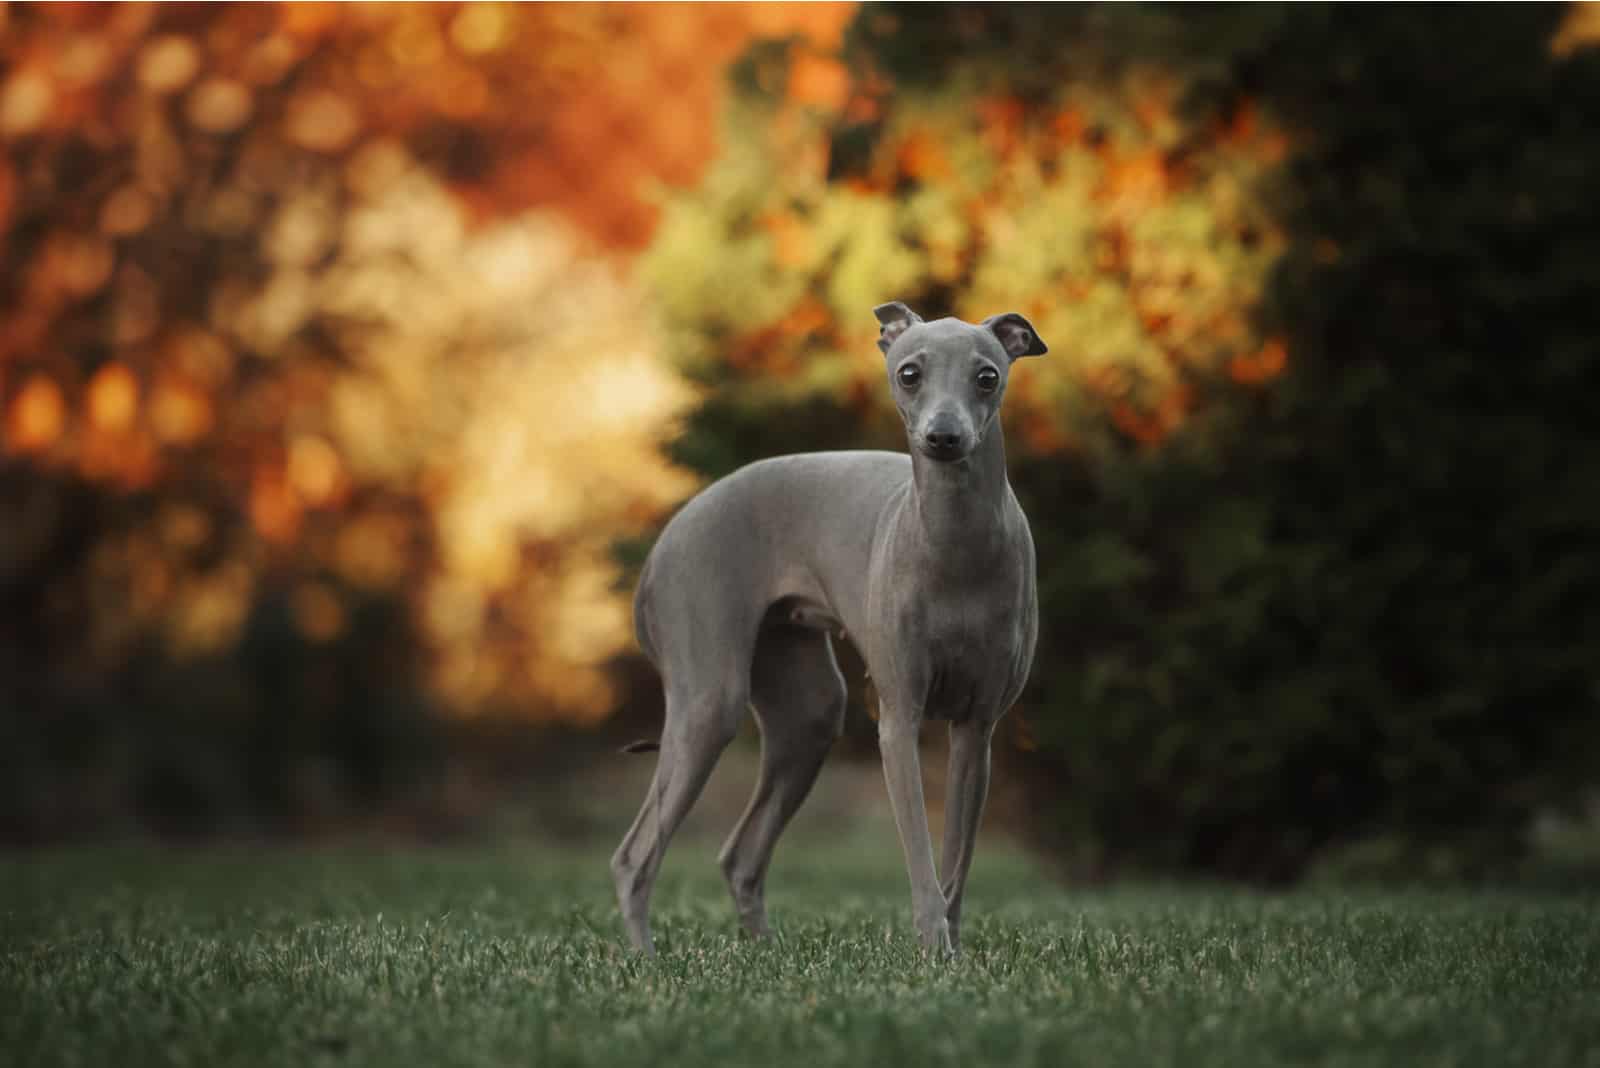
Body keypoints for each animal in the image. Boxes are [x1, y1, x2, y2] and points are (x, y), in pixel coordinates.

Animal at [604, 302, 1043, 959]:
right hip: (708, 699)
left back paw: (763, 952)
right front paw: (933, 949)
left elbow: (955, 864)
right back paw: (646, 960)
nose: (943, 438)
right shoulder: (899, 719)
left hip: (806, 709)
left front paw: (952, 953)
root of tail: (664, 543)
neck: (953, 542)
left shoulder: (977, 728)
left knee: (740, 856)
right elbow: (921, 857)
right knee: (634, 856)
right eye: (909, 373)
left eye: (987, 376)